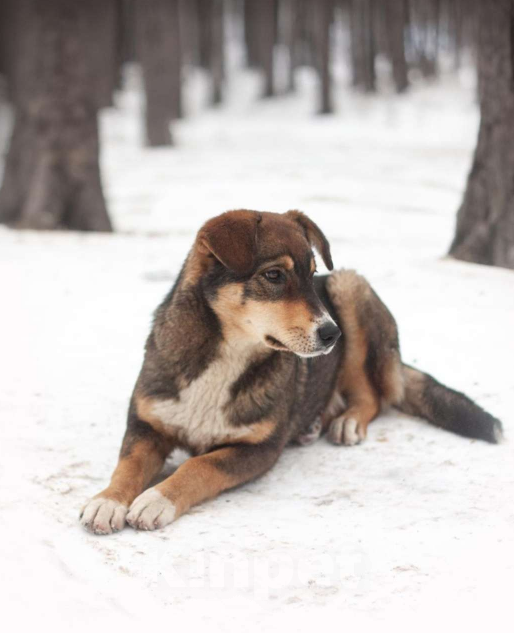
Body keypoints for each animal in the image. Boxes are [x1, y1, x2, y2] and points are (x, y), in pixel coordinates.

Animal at [79, 209, 500, 532]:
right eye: (274, 276)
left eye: (311, 272)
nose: (332, 334)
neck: (226, 355)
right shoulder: (146, 425)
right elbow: (128, 465)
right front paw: (108, 500)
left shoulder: (258, 448)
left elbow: (201, 465)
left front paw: (157, 498)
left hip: (349, 287)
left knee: (374, 395)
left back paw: (347, 422)